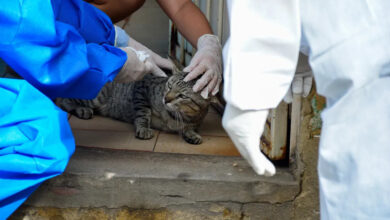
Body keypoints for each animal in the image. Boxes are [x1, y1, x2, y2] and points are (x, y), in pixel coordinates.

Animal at [57, 69, 210, 144]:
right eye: (169, 86)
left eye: (182, 96)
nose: (166, 99)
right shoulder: (142, 87)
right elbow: (143, 113)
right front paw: (143, 128)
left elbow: (189, 127)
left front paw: (192, 134)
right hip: (96, 97)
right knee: (64, 99)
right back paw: (81, 109)